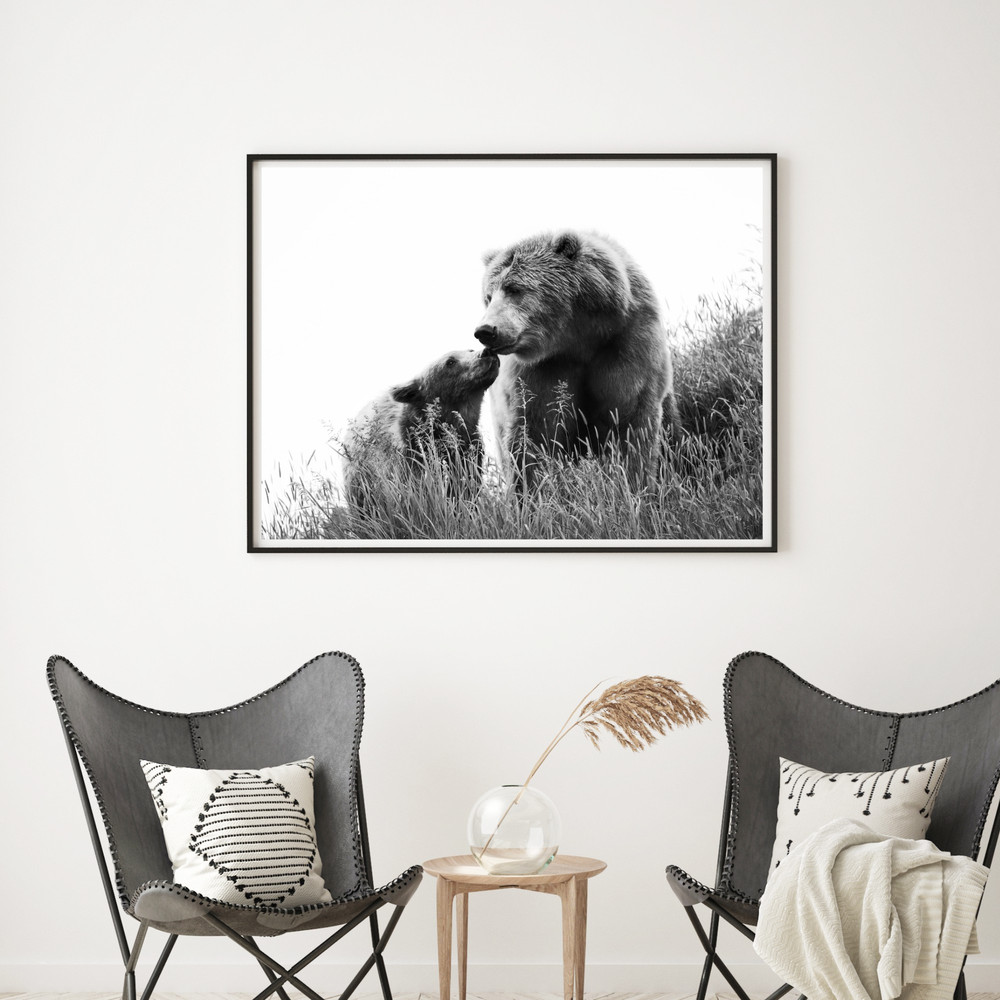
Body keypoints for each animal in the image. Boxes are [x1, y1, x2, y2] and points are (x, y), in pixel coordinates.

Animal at [341, 348, 500, 519]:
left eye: (469, 349)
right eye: (450, 362)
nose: (486, 352)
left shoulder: (469, 450)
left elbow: (466, 488)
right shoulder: (409, 455)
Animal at [474, 229, 678, 490]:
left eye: (514, 289)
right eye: (488, 297)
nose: (485, 330)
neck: (577, 338)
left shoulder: (626, 343)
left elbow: (631, 420)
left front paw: (632, 483)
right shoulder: (542, 370)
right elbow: (534, 433)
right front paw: (533, 491)